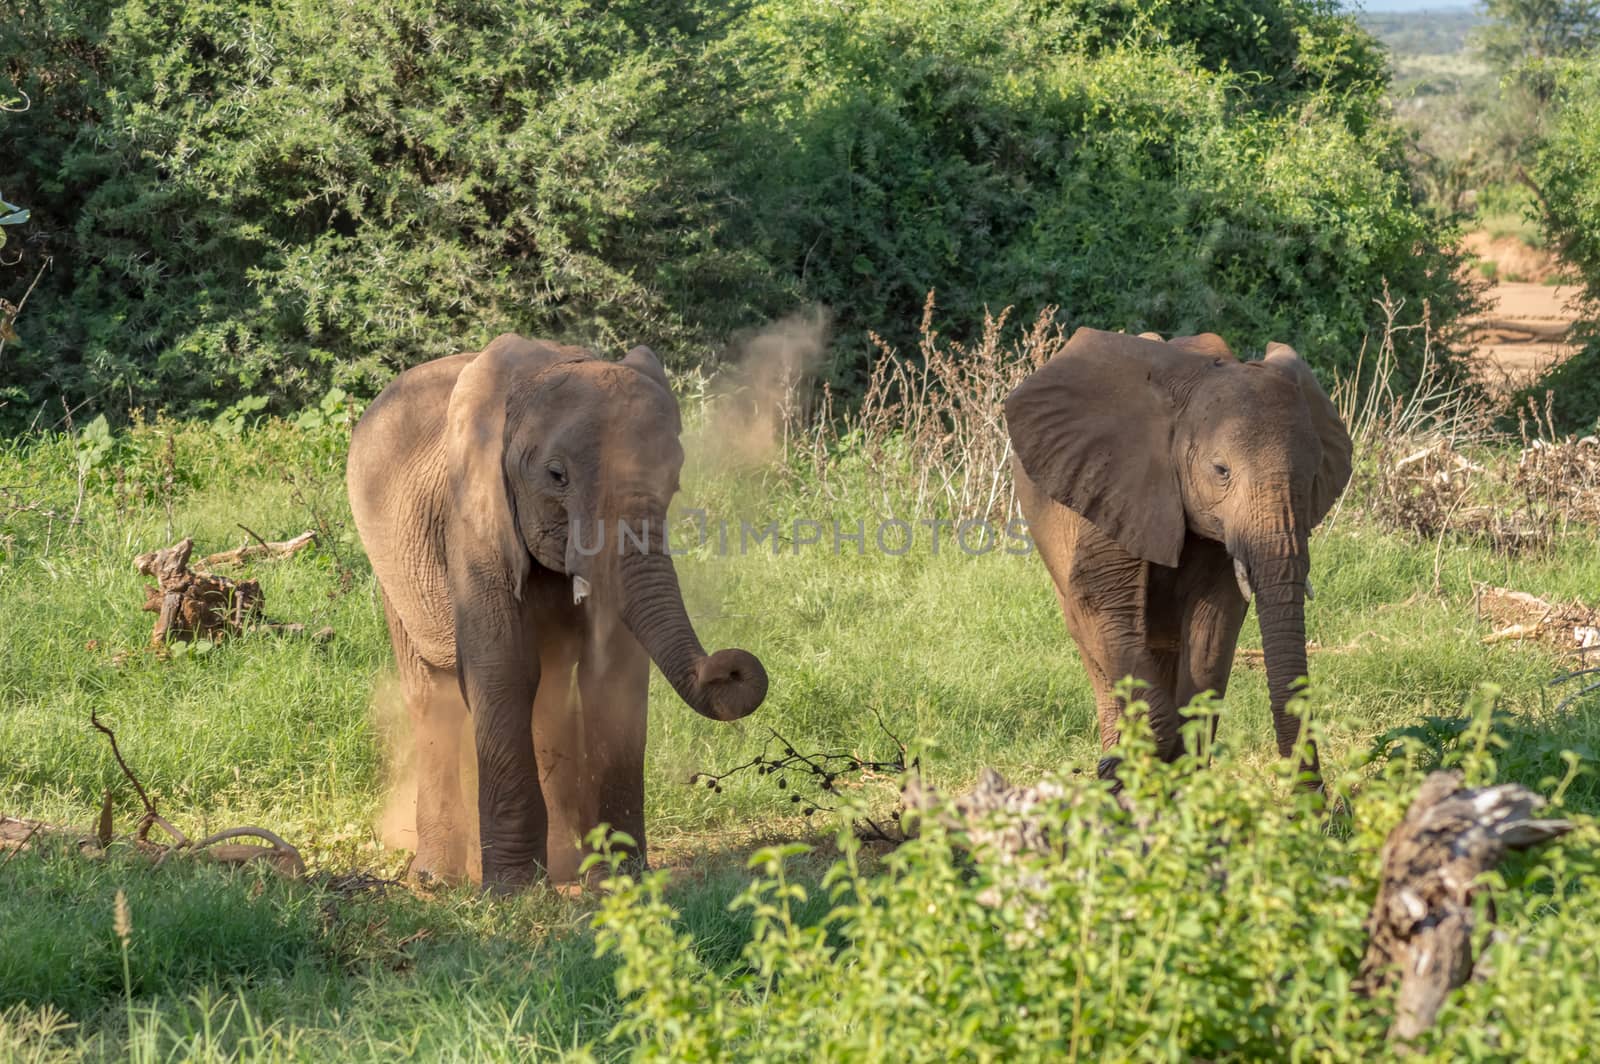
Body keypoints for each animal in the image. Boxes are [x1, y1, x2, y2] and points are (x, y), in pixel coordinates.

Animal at [348, 332, 768, 889]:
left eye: (675, 478)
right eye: (555, 476)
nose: (729, 666)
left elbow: (611, 673)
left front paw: (620, 878)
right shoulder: (474, 515)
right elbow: (503, 670)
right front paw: (513, 891)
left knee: (549, 691)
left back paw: (564, 862)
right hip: (392, 568)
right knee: (432, 695)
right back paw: (437, 877)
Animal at [1004, 328, 1356, 784]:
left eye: (1314, 477)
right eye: (1221, 471)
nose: (1318, 801)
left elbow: (1213, 623)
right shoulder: (1113, 483)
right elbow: (1103, 608)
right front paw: (1118, 772)